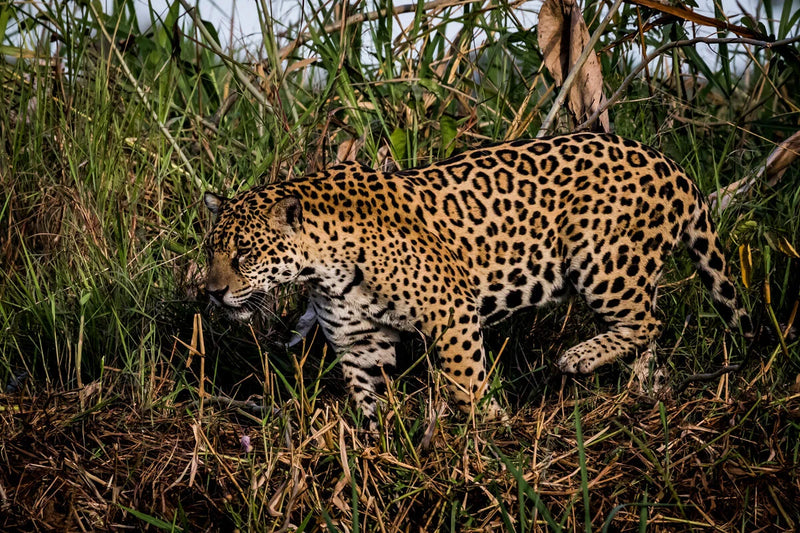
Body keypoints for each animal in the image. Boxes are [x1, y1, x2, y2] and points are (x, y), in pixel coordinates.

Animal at [202, 132, 752, 428]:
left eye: (245, 254)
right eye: (211, 252)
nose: (212, 293)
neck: (322, 268)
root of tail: (672, 165)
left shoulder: (450, 315)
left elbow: (466, 382)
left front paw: (492, 431)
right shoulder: (359, 341)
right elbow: (366, 396)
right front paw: (374, 443)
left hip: (602, 260)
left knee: (650, 322)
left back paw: (577, 359)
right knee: (648, 334)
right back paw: (643, 394)